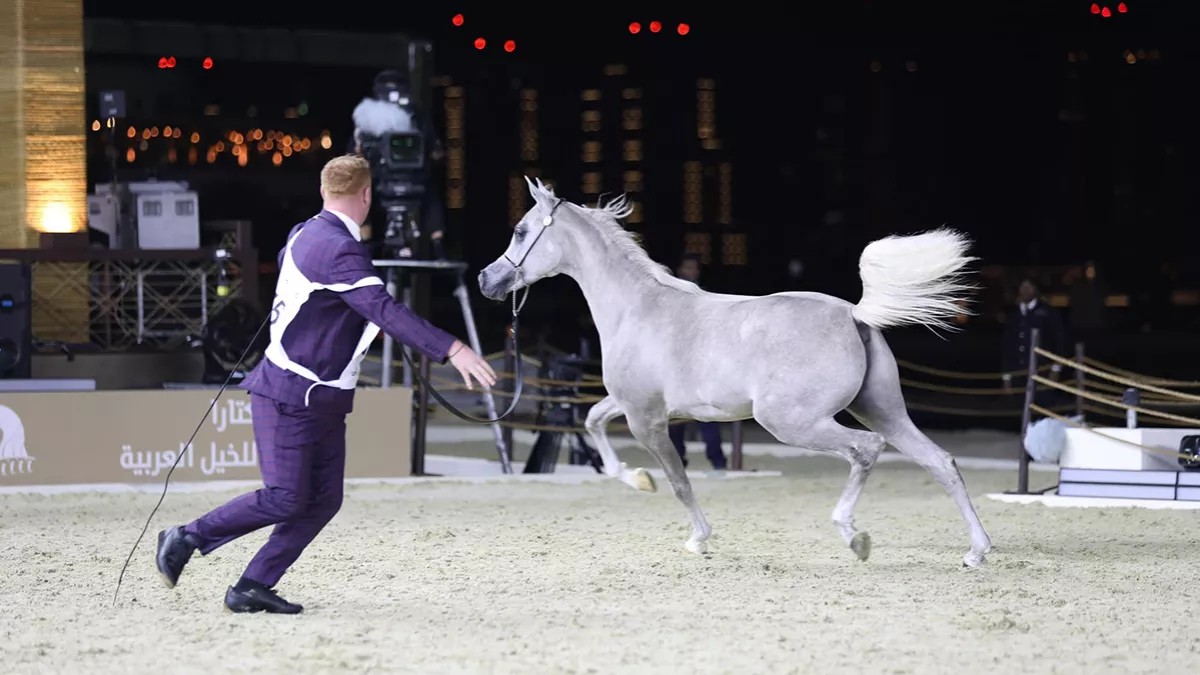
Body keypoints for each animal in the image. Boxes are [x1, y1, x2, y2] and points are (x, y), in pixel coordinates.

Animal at [477, 176, 993, 564]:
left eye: (521, 230)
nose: (487, 280)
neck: (638, 307)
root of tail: (854, 314)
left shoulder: (647, 419)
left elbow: (680, 483)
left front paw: (697, 538)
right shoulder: (633, 405)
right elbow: (592, 422)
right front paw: (635, 478)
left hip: (793, 421)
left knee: (866, 450)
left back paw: (854, 536)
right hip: (882, 410)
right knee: (941, 462)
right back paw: (976, 551)